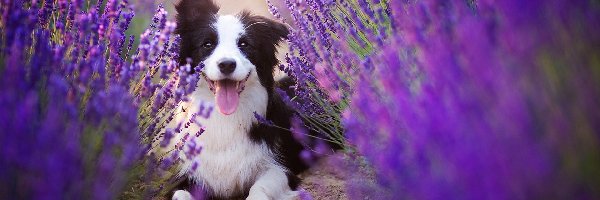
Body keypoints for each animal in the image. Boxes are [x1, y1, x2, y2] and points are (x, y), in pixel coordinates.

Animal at [170, 0, 308, 199]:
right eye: (207, 44)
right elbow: (180, 194)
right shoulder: (186, 174)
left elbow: (260, 188)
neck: (224, 119)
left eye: (244, 44)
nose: (227, 64)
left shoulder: (280, 168)